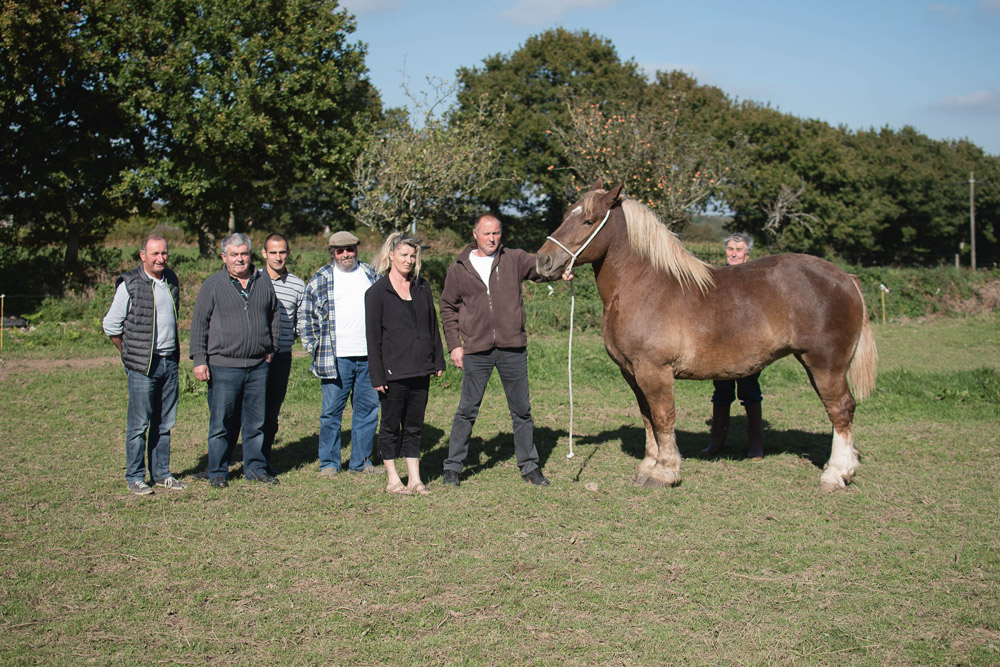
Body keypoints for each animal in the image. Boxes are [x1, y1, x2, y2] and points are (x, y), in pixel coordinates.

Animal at [540, 181, 876, 490]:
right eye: (567, 215)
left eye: (589, 220)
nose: (544, 261)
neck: (644, 285)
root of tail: (845, 278)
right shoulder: (632, 372)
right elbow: (647, 416)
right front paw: (648, 466)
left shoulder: (655, 371)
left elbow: (663, 417)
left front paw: (665, 473)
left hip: (825, 365)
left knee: (840, 409)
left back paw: (836, 474)